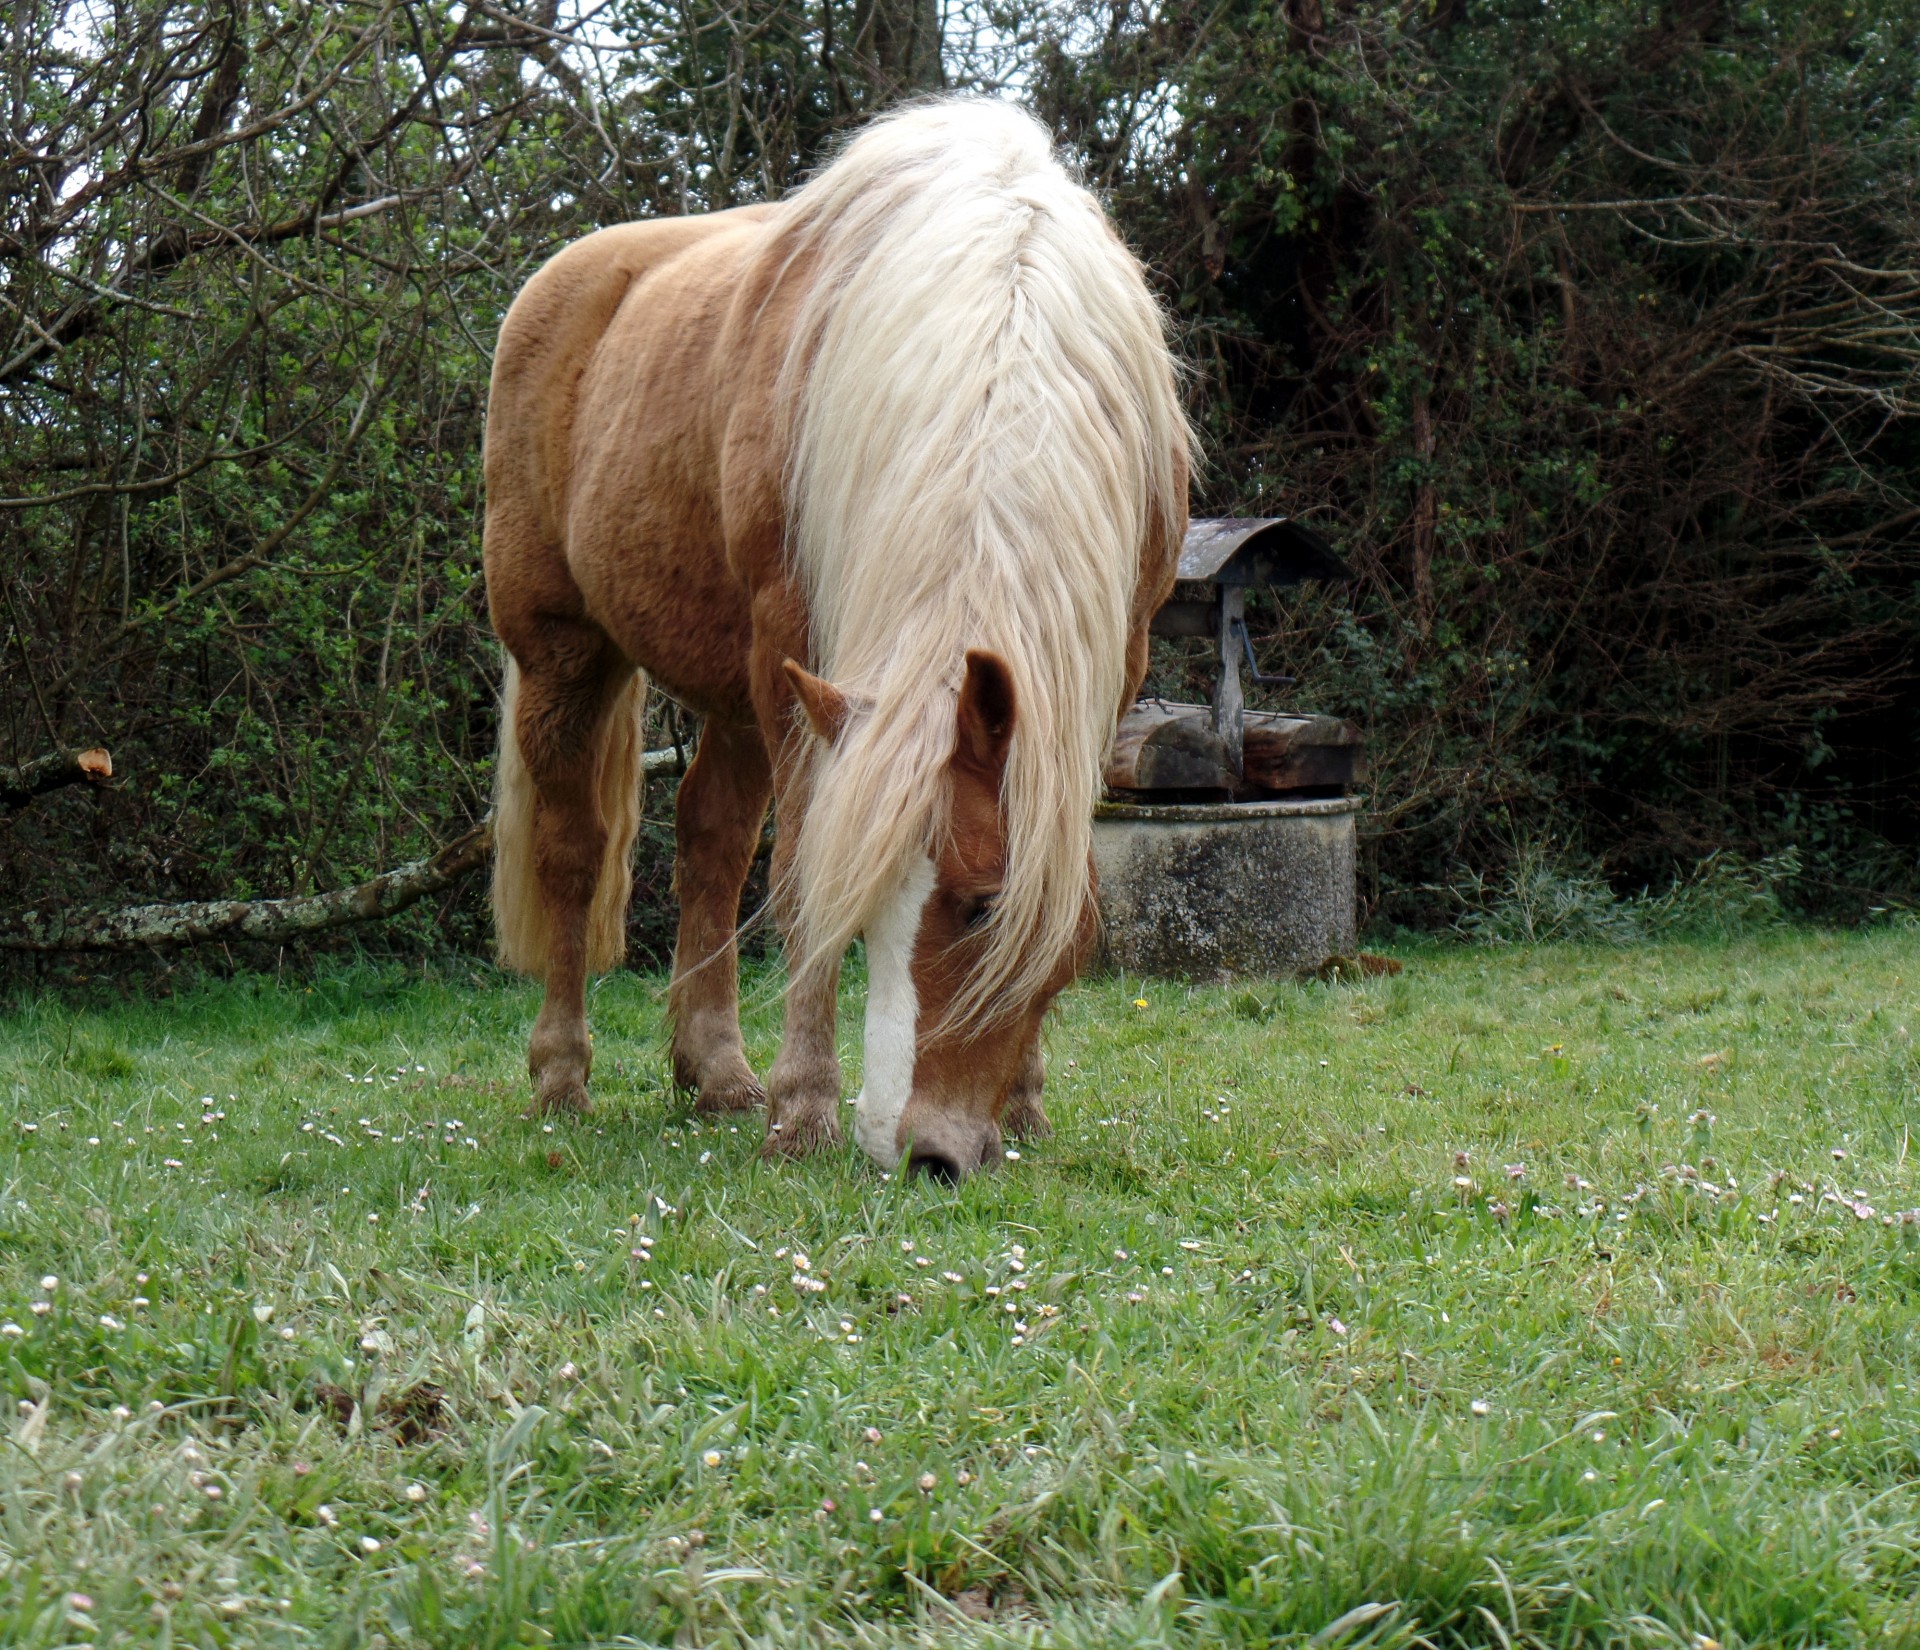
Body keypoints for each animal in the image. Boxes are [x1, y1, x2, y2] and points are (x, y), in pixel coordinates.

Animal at [483, 97, 1182, 1183]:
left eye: (984, 905)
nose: (920, 1151)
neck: (1002, 321)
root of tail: (564, 277)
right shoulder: (797, 656)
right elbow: (801, 878)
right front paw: (804, 1109)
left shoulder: (1105, 672)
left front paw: (1024, 1101)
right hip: (569, 656)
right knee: (574, 852)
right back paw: (564, 1079)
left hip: (733, 692)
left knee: (710, 841)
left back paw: (716, 1073)